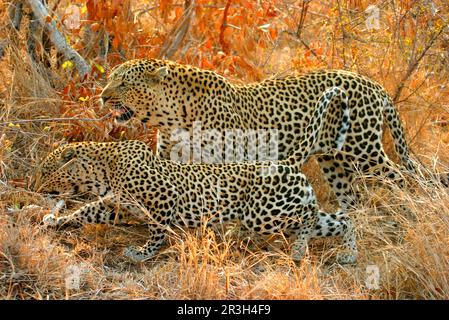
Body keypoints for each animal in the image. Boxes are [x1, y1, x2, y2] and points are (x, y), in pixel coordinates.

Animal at [35, 86, 356, 264]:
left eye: (47, 172)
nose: (36, 189)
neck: (105, 171)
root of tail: (285, 162)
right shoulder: (116, 205)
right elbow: (84, 212)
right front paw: (56, 221)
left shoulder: (162, 199)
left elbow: (157, 230)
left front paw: (143, 253)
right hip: (282, 210)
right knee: (338, 220)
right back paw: (347, 254)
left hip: (263, 214)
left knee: (312, 214)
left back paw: (300, 249)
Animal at [100, 58, 420, 211]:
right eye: (110, 79)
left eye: (124, 83)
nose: (103, 96)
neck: (171, 117)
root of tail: (373, 84)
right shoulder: (170, 161)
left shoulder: (224, 166)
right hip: (335, 161)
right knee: (350, 197)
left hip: (366, 152)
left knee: (402, 177)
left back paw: (409, 213)